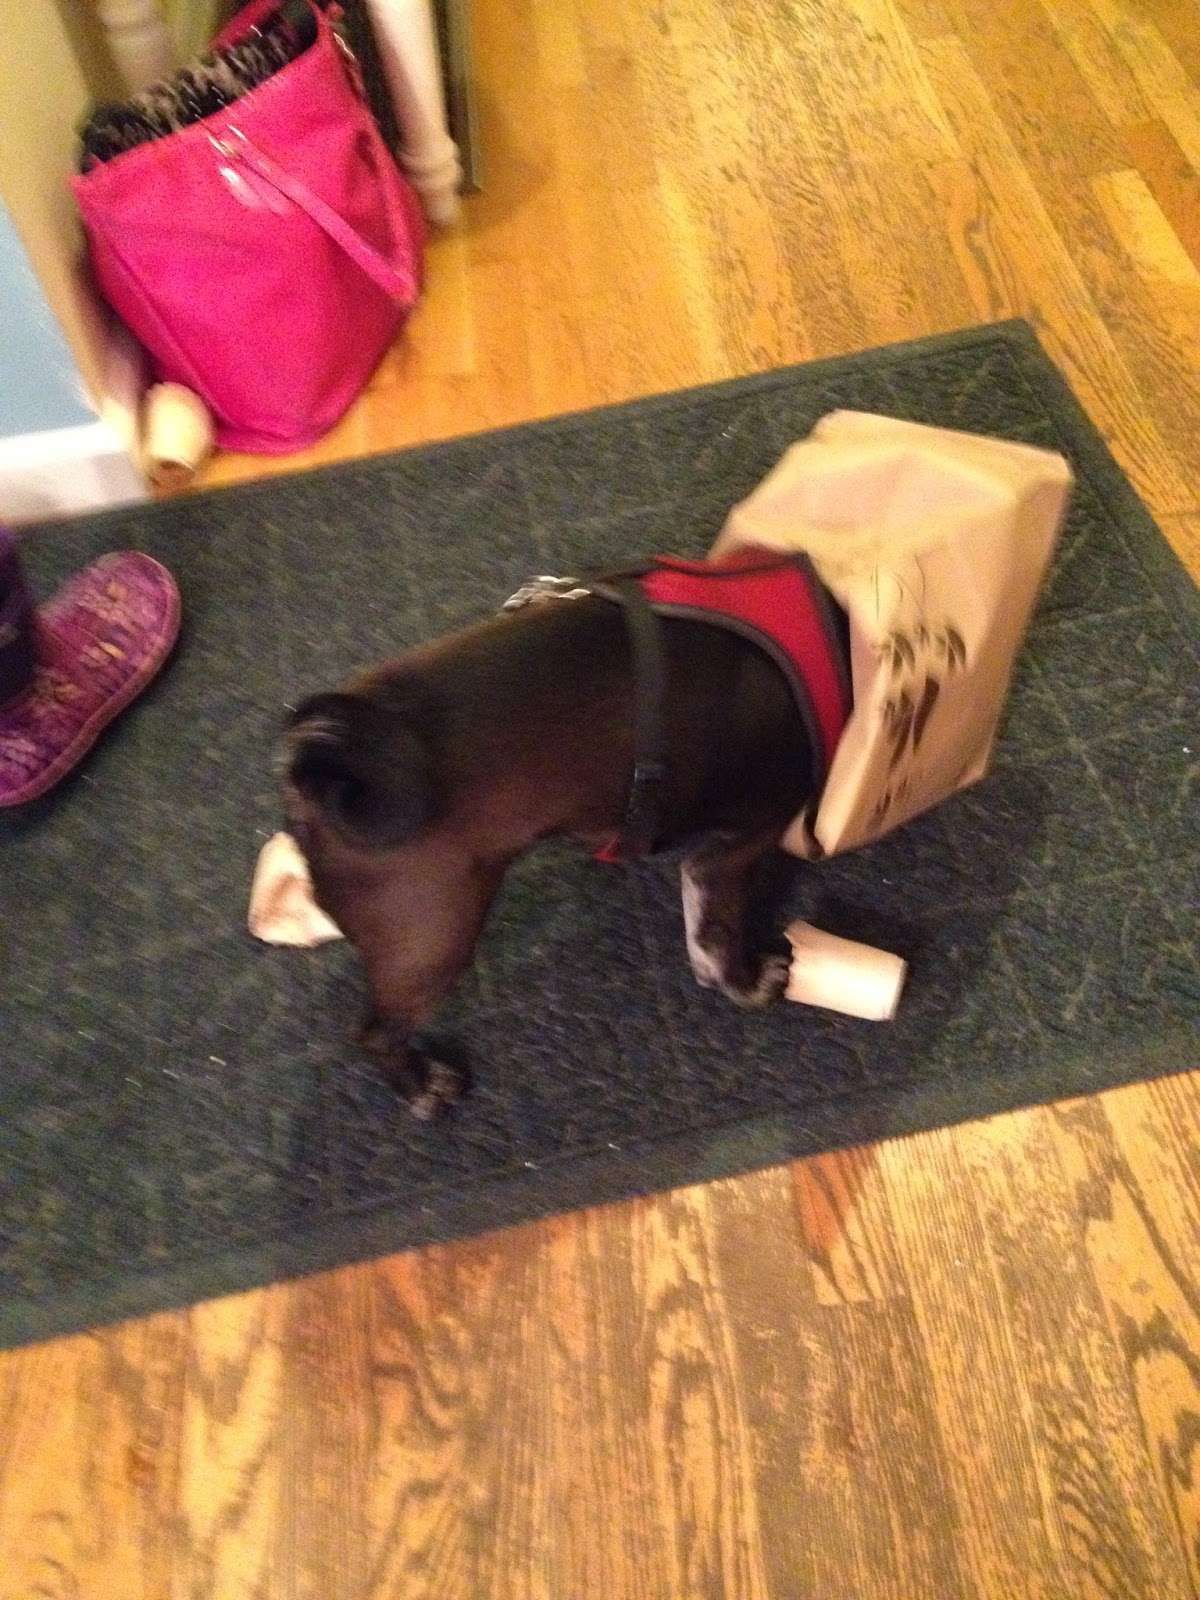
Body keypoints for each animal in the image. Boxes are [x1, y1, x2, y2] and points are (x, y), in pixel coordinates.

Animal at [283, 553, 851, 1117]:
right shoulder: (740, 844)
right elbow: (719, 933)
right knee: (376, 1032)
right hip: (431, 940)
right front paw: (748, 983)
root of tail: (319, 777)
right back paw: (423, 1089)